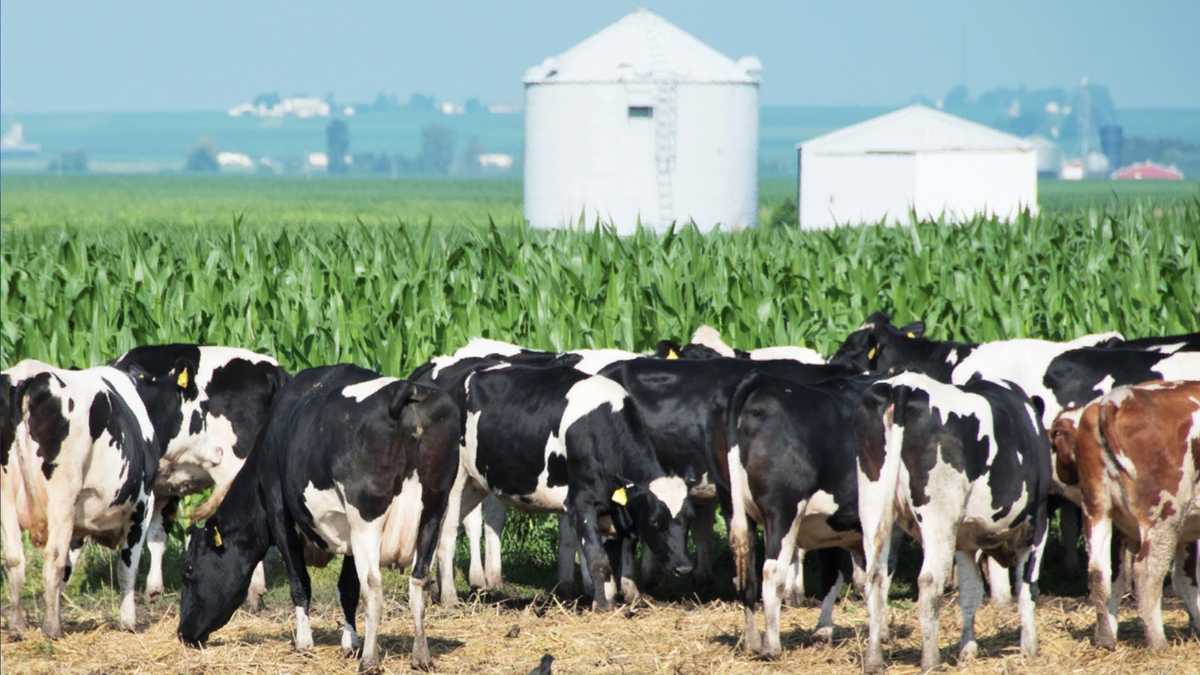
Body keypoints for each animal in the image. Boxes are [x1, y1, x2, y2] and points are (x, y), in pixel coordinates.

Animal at [1, 360, 171, 638]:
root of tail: (28, 375)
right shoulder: (141, 506)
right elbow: (127, 566)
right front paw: (128, 622)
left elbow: (69, 570)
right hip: (61, 494)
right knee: (53, 558)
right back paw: (51, 628)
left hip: (6, 494)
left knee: (14, 558)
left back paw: (17, 627)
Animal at [176, 365, 460, 671]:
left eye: (189, 569)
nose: (182, 632)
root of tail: (407, 390)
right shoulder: (347, 532)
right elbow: (347, 588)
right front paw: (350, 642)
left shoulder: (280, 514)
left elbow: (300, 582)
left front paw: (305, 642)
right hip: (434, 511)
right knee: (418, 580)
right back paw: (421, 656)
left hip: (366, 520)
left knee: (373, 586)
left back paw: (370, 660)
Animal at [724, 371, 875, 658]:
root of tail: (761, 382)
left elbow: (847, 577)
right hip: (782, 511)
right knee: (772, 572)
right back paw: (772, 647)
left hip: (741, 515)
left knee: (747, 575)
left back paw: (753, 643)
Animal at [857, 372, 1051, 672]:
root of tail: (904, 385)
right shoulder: (1039, 523)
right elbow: (1027, 587)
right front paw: (1029, 648)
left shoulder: (965, 540)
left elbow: (970, 593)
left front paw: (967, 650)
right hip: (938, 517)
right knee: (928, 581)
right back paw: (930, 661)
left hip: (874, 507)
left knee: (875, 577)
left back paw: (874, 660)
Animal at [1049, 380, 1200, 650]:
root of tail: (1112, 401)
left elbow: (1186, 579)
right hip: (1164, 516)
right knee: (1146, 573)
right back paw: (1158, 643)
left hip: (1099, 512)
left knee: (1100, 573)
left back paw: (1105, 639)